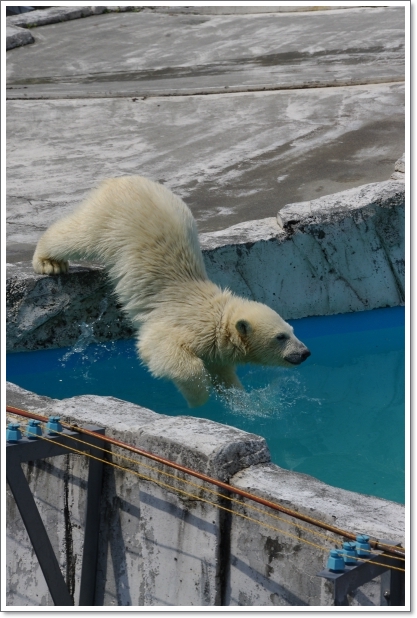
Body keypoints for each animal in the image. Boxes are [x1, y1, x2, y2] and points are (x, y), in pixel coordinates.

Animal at [33, 176, 308, 404]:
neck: (215, 314)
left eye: (292, 330)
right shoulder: (182, 326)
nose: (305, 352)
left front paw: (239, 400)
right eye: (280, 337)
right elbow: (161, 349)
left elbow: (221, 368)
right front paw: (198, 398)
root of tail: (120, 179)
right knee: (75, 235)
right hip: (109, 221)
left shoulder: (215, 347)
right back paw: (49, 262)